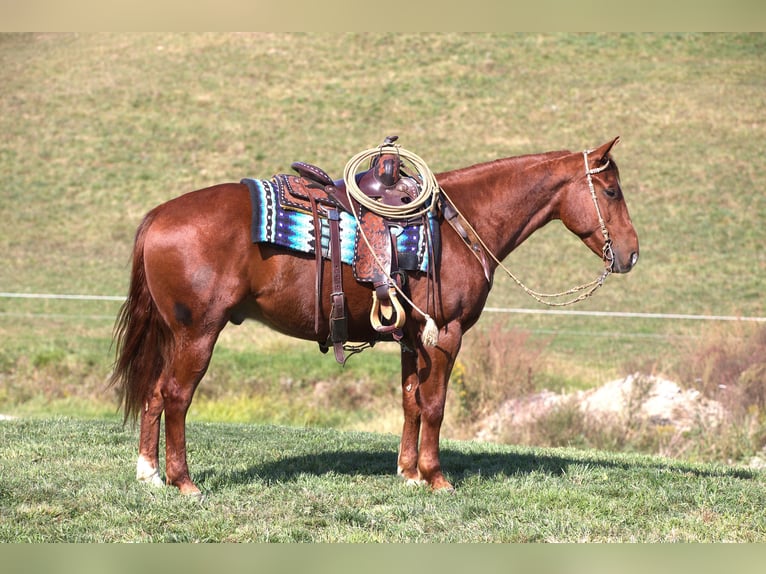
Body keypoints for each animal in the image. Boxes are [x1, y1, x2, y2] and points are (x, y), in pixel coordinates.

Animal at [108, 138, 636, 496]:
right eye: (611, 191)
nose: (631, 254)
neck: (458, 224)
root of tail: (158, 216)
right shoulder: (446, 334)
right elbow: (436, 405)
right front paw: (436, 477)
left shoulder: (413, 337)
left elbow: (410, 402)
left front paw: (407, 473)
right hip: (198, 333)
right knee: (176, 396)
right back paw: (184, 481)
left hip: (174, 335)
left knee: (154, 393)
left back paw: (149, 474)